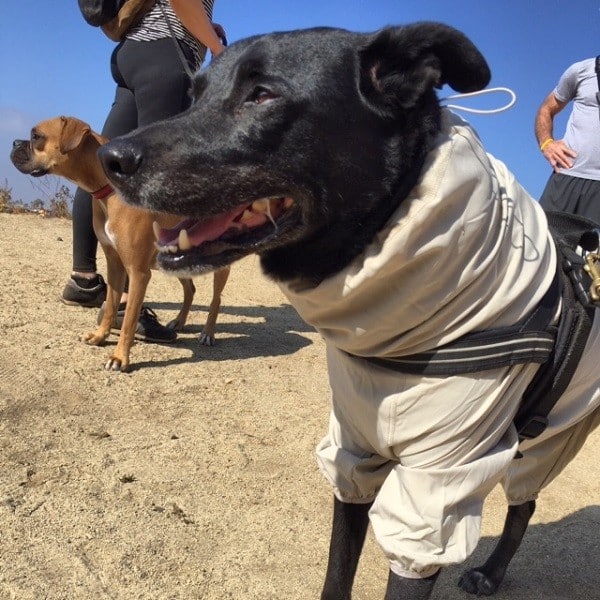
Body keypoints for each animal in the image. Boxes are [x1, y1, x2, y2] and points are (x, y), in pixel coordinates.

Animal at [11, 115, 232, 372]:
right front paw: (100, 336)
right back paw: (179, 321)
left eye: (36, 136)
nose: (14, 143)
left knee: (217, 298)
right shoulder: (115, 265)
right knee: (190, 289)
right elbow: (111, 306)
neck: (110, 191)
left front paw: (120, 357)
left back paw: (208, 332)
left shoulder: (138, 273)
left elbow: (128, 321)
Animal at [99, 21, 600, 596]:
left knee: (525, 503)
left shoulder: (436, 491)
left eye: (262, 95)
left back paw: (491, 574)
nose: (111, 159)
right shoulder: (354, 452)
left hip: (550, 440)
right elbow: (338, 568)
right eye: (194, 94)